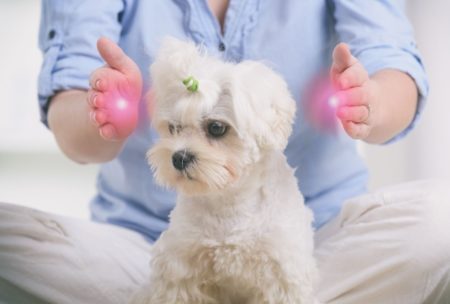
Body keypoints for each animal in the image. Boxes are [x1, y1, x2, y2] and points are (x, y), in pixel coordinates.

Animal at [132, 38, 318, 304]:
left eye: (216, 127)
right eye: (174, 128)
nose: (179, 157)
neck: (229, 202)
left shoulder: (282, 273)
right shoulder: (180, 268)